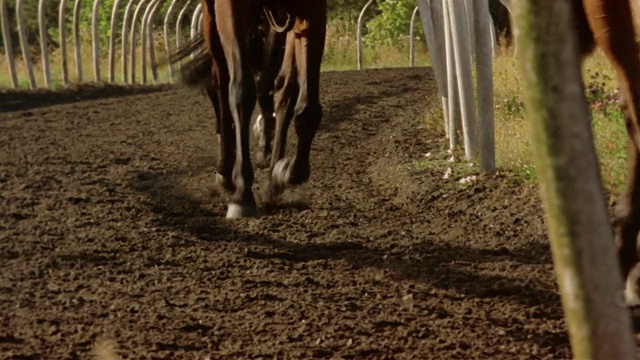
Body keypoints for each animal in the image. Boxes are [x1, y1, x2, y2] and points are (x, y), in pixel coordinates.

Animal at [174, 0, 324, 218]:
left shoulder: (312, 9)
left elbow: (308, 108)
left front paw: (287, 171)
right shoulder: (230, 8)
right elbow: (241, 92)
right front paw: (242, 195)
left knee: (281, 87)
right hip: (212, 18)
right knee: (221, 79)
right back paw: (226, 170)